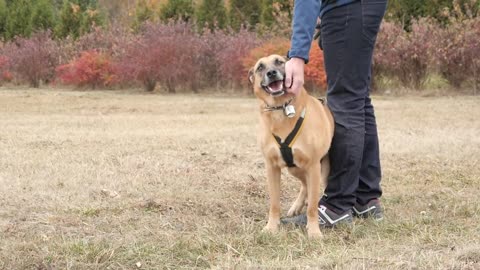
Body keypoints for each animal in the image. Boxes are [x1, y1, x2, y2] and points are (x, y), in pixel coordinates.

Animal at [248, 54, 334, 238]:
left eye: (279, 62)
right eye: (260, 67)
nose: (271, 73)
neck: (281, 109)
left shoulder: (313, 166)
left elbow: (312, 207)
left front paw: (314, 231)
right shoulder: (272, 167)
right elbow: (274, 203)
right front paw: (271, 227)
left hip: (322, 171)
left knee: (313, 188)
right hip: (294, 168)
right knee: (305, 185)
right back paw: (296, 206)